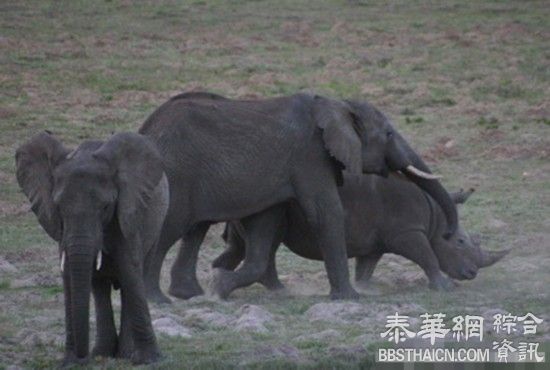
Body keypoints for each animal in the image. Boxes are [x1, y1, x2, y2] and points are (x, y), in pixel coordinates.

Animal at [16, 132, 169, 366]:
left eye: (105, 207)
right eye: (58, 207)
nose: (82, 358)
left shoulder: (127, 215)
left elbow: (130, 273)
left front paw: (148, 360)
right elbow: (69, 275)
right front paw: (70, 362)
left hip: (156, 226)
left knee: (135, 277)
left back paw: (124, 354)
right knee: (99, 287)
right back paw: (102, 353)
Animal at [140, 91, 460, 302]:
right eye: (390, 134)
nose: (449, 234)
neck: (337, 104)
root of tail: (148, 127)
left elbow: (266, 222)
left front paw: (219, 285)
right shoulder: (310, 156)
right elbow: (326, 212)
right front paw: (350, 298)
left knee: (195, 228)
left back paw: (189, 294)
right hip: (176, 172)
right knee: (169, 227)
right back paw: (158, 300)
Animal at [215, 173, 508, 294]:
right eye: (460, 242)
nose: (472, 273)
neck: (436, 214)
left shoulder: (377, 240)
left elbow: (366, 266)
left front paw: (365, 288)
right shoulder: (408, 232)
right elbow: (428, 257)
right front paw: (446, 287)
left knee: (247, 245)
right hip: (267, 202)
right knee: (266, 243)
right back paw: (279, 291)